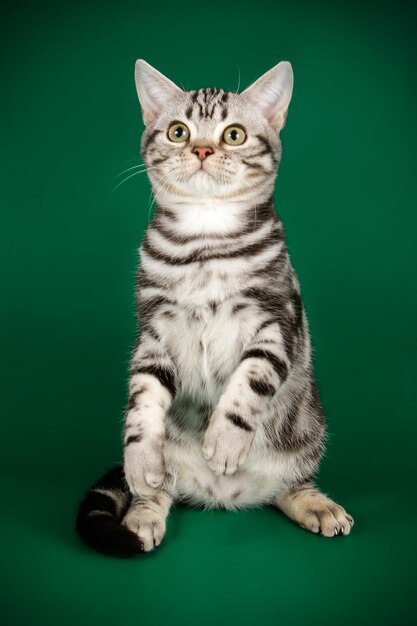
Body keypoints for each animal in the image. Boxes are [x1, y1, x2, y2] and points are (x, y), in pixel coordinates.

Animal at [76, 59, 352, 556]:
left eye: (234, 135)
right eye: (179, 132)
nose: (202, 149)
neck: (205, 240)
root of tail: (223, 497)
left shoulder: (277, 319)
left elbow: (251, 378)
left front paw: (224, 440)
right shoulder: (153, 329)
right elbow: (142, 399)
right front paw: (139, 457)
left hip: (307, 434)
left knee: (290, 485)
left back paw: (316, 504)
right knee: (161, 491)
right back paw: (141, 514)